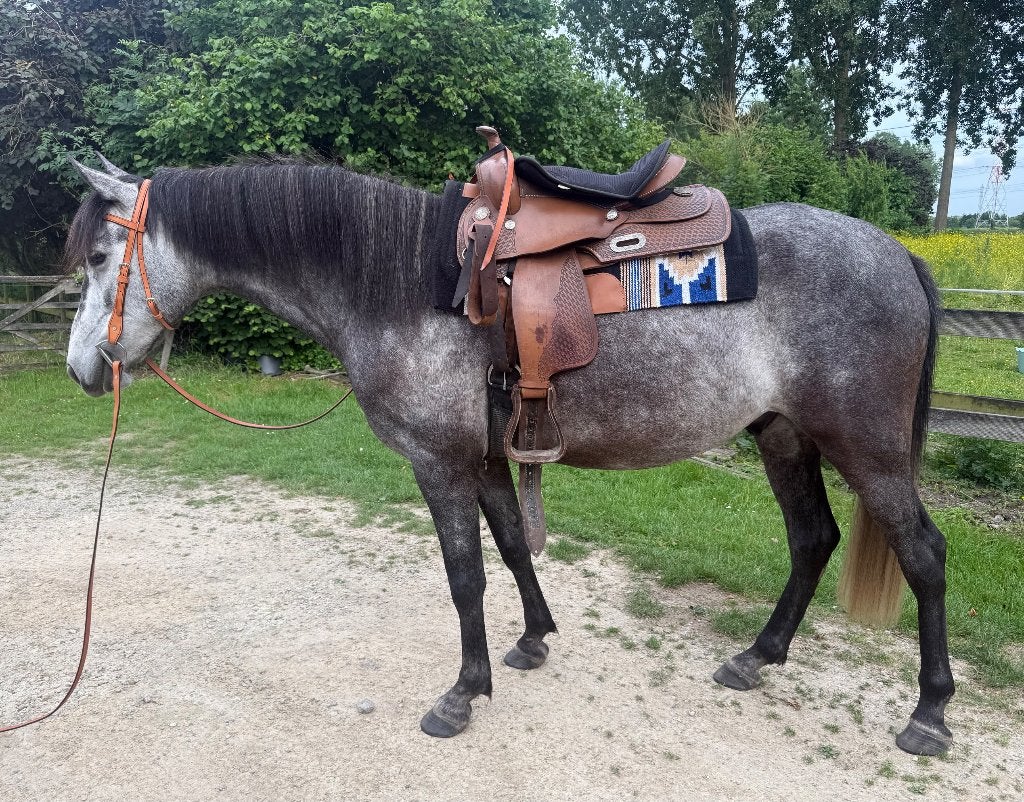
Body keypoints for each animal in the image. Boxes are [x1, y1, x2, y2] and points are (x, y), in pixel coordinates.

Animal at [63, 155, 952, 756]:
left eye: (100, 259)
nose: (81, 369)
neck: (398, 283)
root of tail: (899, 255)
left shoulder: (437, 464)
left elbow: (465, 575)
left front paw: (462, 693)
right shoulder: (487, 458)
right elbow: (515, 545)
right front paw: (531, 641)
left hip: (866, 448)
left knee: (923, 555)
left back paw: (929, 713)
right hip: (783, 436)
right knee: (812, 540)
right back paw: (756, 658)